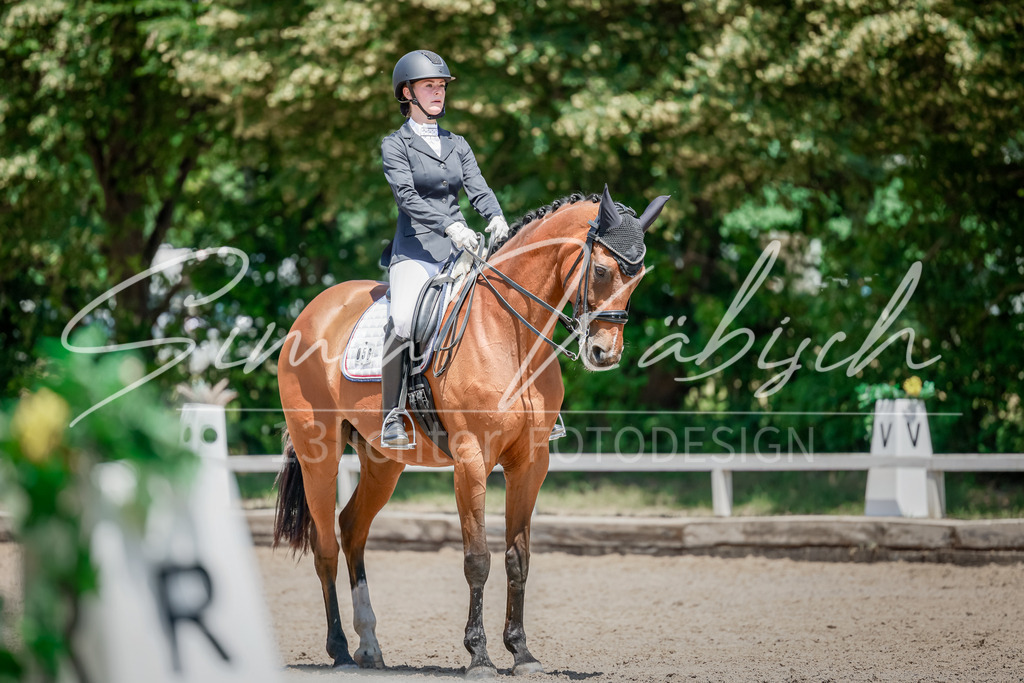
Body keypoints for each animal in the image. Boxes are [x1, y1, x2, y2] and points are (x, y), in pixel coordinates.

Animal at [273, 186, 669, 677]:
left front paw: (522, 653)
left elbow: (518, 558)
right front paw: (479, 656)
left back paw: (370, 646)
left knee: (351, 529)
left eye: (639, 278)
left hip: (383, 462)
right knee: (325, 543)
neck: (511, 332)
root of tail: (311, 312)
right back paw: (341, 650)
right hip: (320, 453)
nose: (603, 353)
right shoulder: (471, 458)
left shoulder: (530, 463)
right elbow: (477, 558)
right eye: (600, 269)